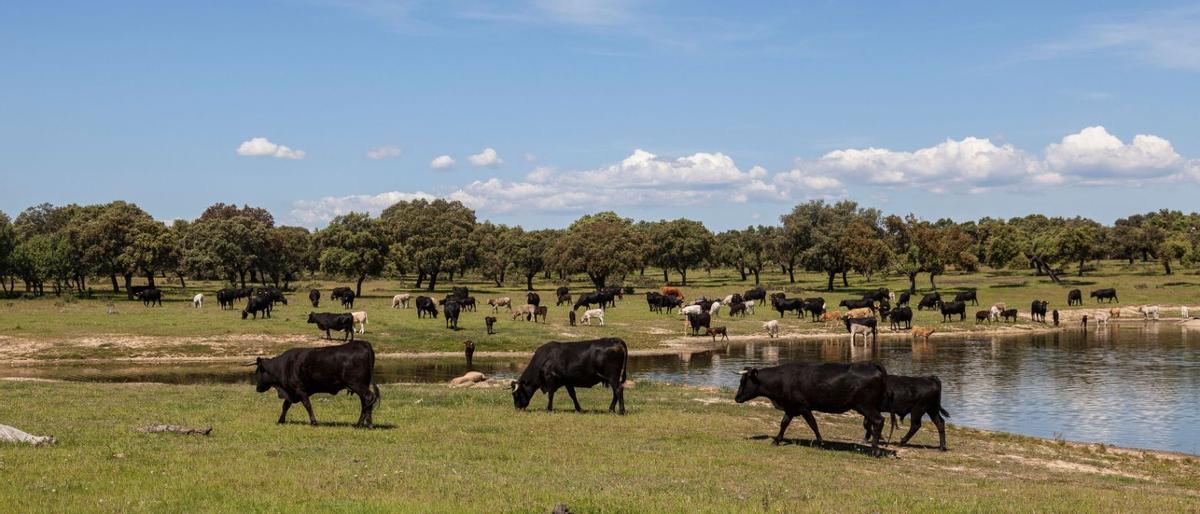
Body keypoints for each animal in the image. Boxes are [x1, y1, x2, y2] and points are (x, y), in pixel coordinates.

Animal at [729, 360, 892, 453]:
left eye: (743, 381)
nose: (736, 397)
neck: (783, 379)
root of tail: (871, 365)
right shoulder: (791, 408)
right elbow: (784, 423)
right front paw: (776, 440)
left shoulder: (803, 407)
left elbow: (813, 424)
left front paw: (821, 442)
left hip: (865, 406)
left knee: (879, 421)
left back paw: (875, 450)